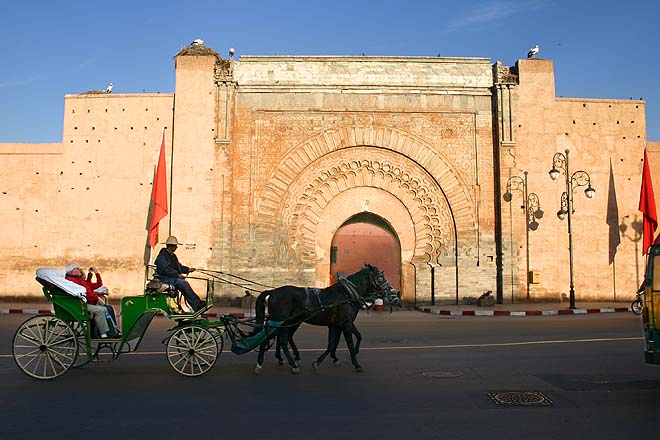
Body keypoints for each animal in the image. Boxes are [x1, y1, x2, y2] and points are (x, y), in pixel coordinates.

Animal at [253, 264, 400, 374]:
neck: (347, 294)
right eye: (380, 278)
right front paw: (356, 364)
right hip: (280, 320)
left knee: (278, 338)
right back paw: (285, 364)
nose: (394, 294)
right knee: (277, 339)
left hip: (287, 322)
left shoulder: (337, 324)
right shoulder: (346, 323)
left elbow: (335, 343)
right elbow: (349, 343)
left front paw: (321, 361)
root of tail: (273, 291)